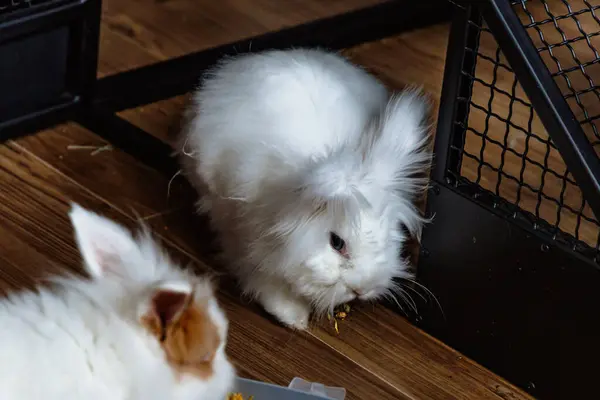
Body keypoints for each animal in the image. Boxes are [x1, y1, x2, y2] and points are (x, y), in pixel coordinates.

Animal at [178, 48, 432, 328]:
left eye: (389, 234)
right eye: (337, 243)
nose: (363, 289)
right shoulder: (242, 235)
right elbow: (260, 275)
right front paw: (293, 316)